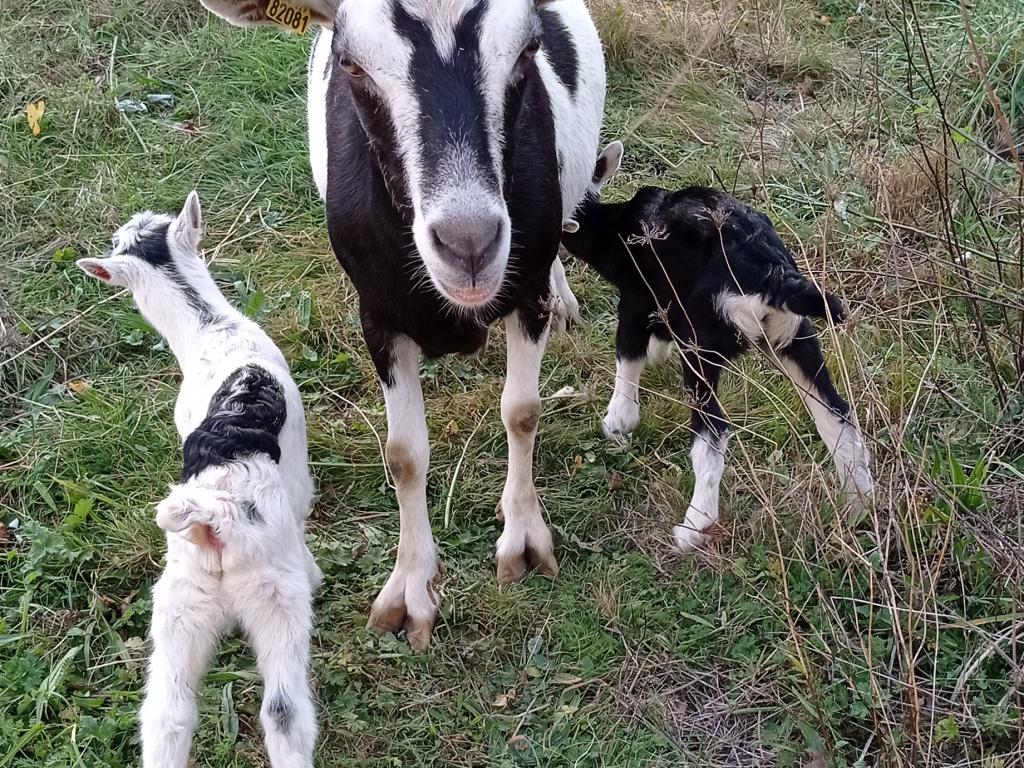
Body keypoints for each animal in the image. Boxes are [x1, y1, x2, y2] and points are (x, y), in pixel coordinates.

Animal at [77, 193, 317, 768]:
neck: (209, 327)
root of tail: (214, 513)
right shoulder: (297, 481)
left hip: (179, 604)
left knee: (167, 713)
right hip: (274, 599)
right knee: (284, 712)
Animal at [561, 143, 872, 552]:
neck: (615, 227)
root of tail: (773, 278)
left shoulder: (636, 299)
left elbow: (628, 356)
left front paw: (618, 421)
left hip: (703, 348)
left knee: (712, 434)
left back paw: (693, 528)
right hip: (796, 338)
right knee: (836, 415)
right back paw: (860, 503)